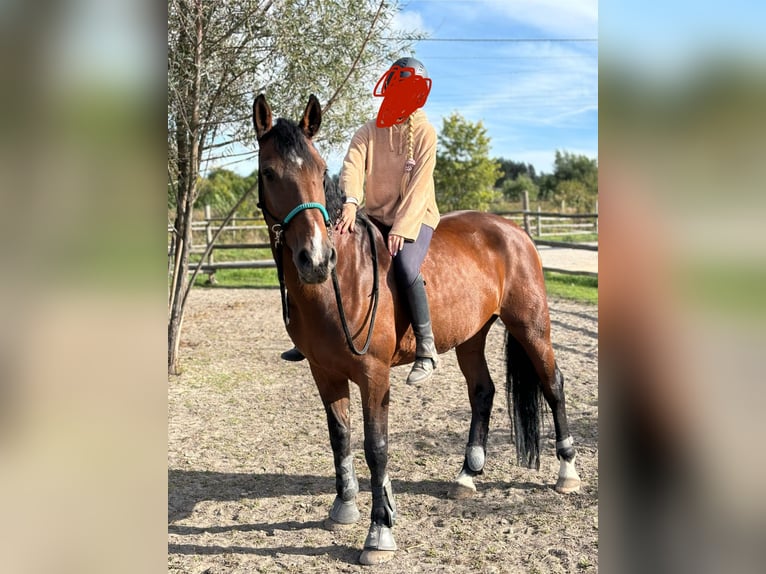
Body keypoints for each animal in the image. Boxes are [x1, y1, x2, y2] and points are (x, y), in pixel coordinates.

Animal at [252, 94, 584, 568]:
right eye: (268, 172)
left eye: (319, 170)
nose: (315, 259)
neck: (341, 281)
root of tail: (512, 229)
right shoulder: (324, 372)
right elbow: (340, 437)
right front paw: (344, 506)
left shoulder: (373, 375)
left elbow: (376, 446)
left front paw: (379, 532)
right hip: (471, 337)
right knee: (483, 392)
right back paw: (467, 475)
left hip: (531, 326)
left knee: (553, 384)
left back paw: (567, 471)